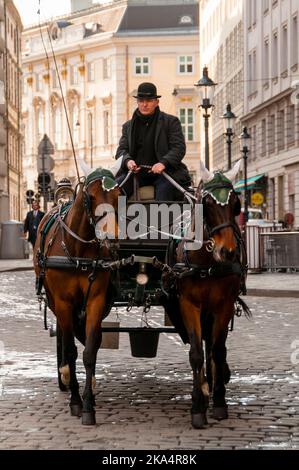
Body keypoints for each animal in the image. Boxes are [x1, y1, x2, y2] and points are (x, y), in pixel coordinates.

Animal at [34, 169, 120, 426]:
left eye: (119, 194)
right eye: (90, 198)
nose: (112, 238)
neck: (78, 251)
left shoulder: (95, 301)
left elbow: (90, 350)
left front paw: (89, 405)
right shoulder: (64, 304)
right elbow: (71, 350)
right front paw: (75, 400)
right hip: (56, 303)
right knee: (64, 335)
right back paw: (64, 373)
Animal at [165, 162, 250, 430]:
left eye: (235, 203)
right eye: (208, 204)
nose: (228, 252)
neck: (208, 263)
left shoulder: (224, 305)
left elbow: (218, 349)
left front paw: (220, 401)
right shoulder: (188, 304)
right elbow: (195, 353)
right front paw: (197, 406)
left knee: (212, 345)